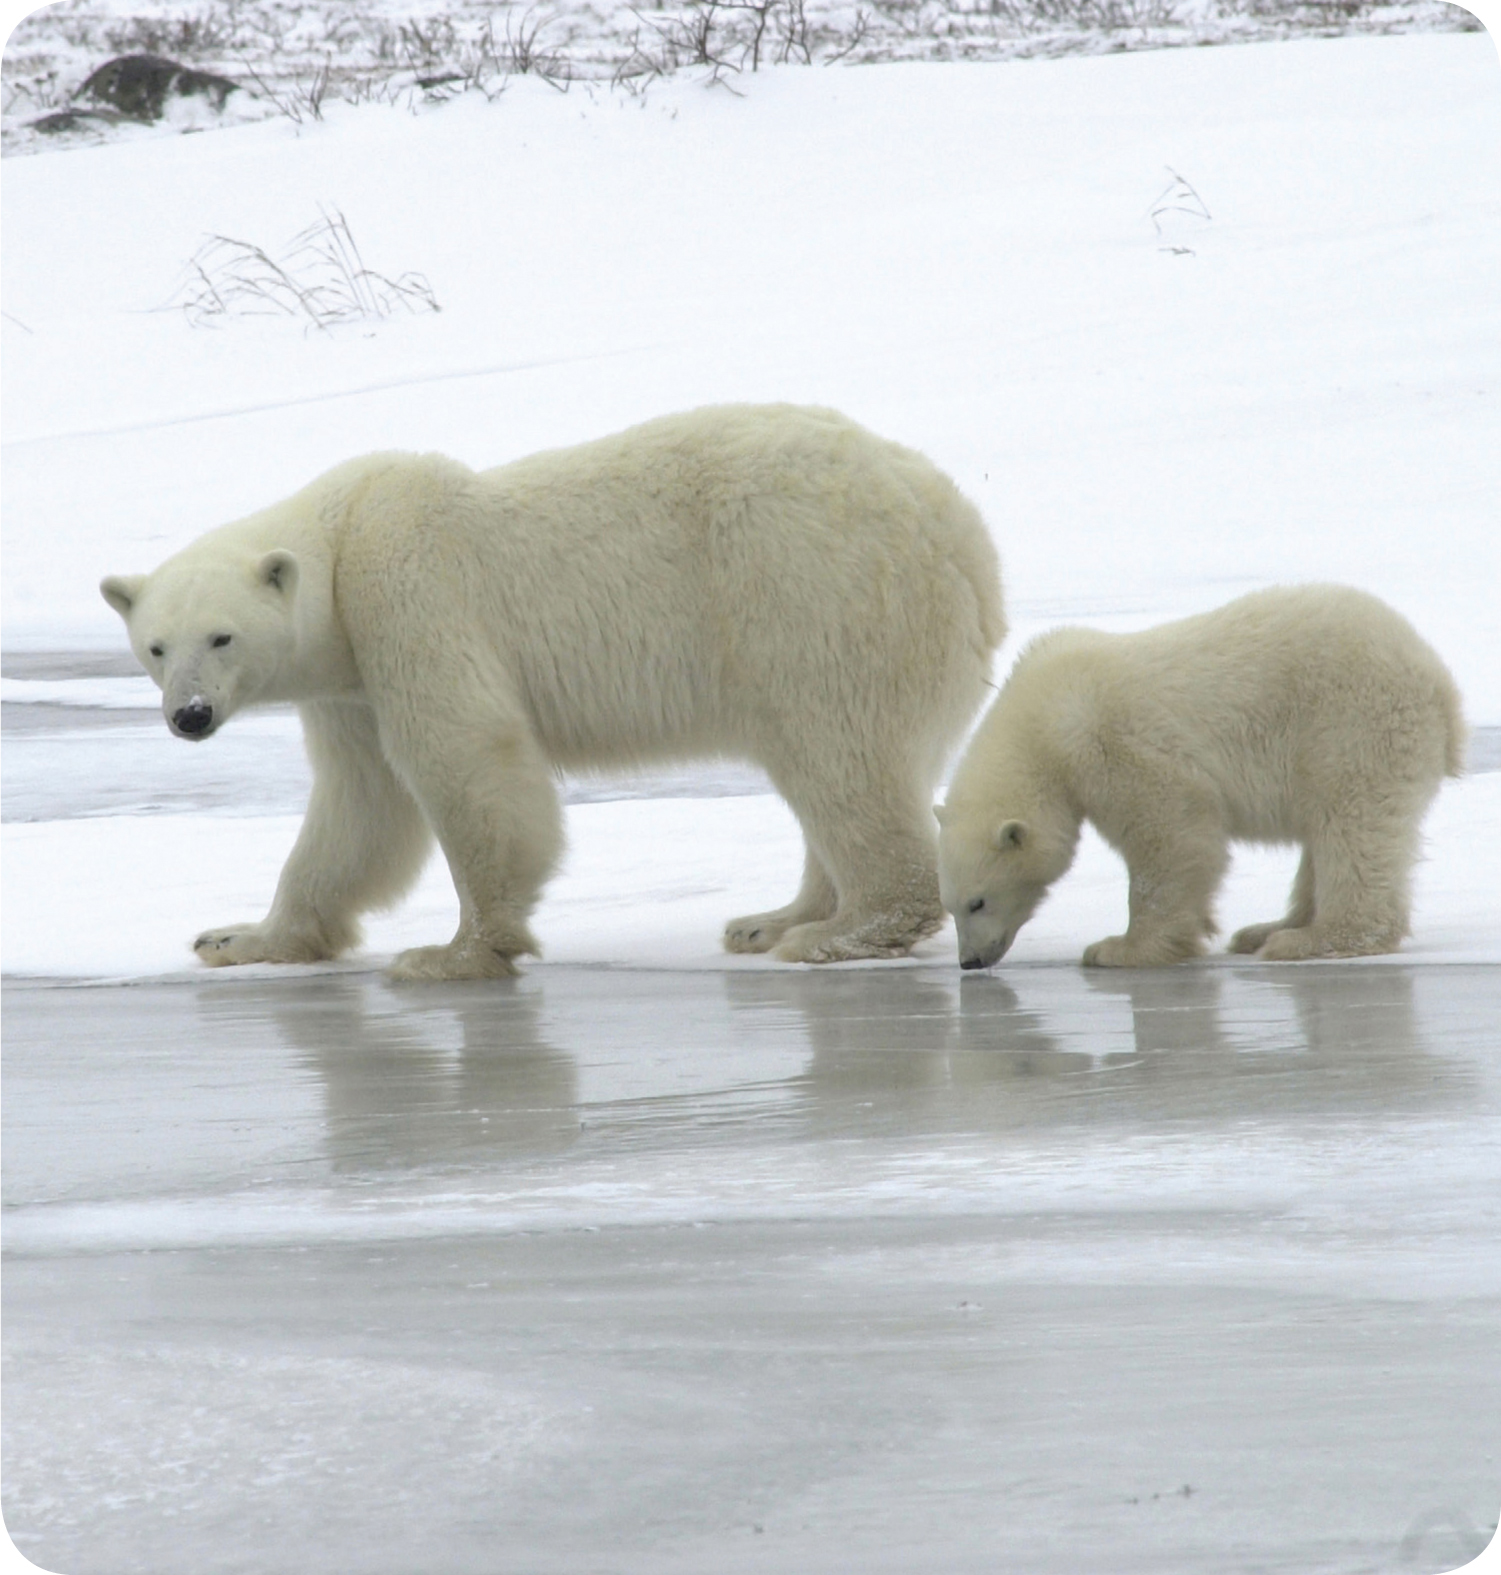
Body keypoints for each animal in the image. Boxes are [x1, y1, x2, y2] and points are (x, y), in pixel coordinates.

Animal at [99, 406, 1001, 970]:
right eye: (155, 646)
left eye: (222, 636)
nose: (189, 714)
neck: (344, 536)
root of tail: (960, 537)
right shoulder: (349, 685)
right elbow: (358, 810)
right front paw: (236, 938)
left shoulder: (410, 600)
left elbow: (464, 759)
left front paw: (453, 951)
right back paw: (775, 917)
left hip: (812, 595)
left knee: (836, 752)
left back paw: (837, 930)